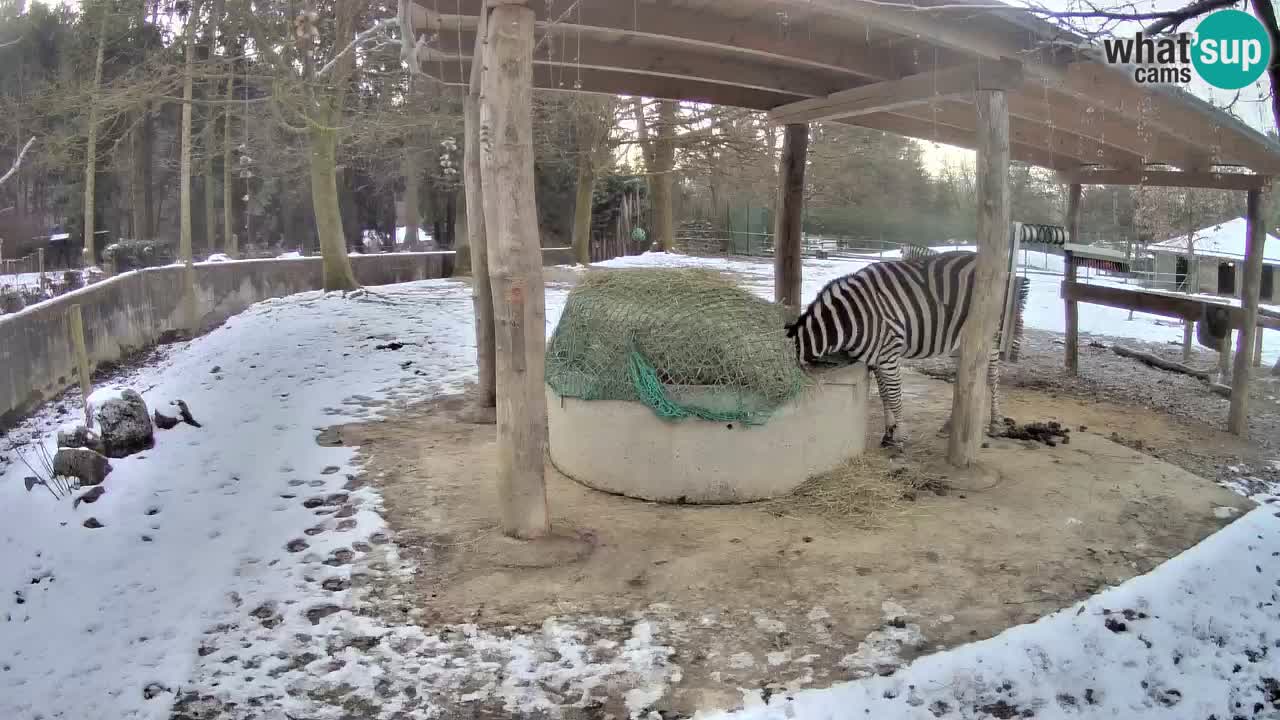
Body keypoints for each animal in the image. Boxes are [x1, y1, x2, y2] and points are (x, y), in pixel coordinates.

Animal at [783, 249, 1013, 445]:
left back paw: (996, 423)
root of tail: (978, 256)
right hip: (961, 339)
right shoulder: (875, 358)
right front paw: (889, 432)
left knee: (993, 375)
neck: (847, 320)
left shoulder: (888, 354)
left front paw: (900, 436)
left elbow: (895, 395)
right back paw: (950, 425)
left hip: (990, 331)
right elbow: (884, 394)